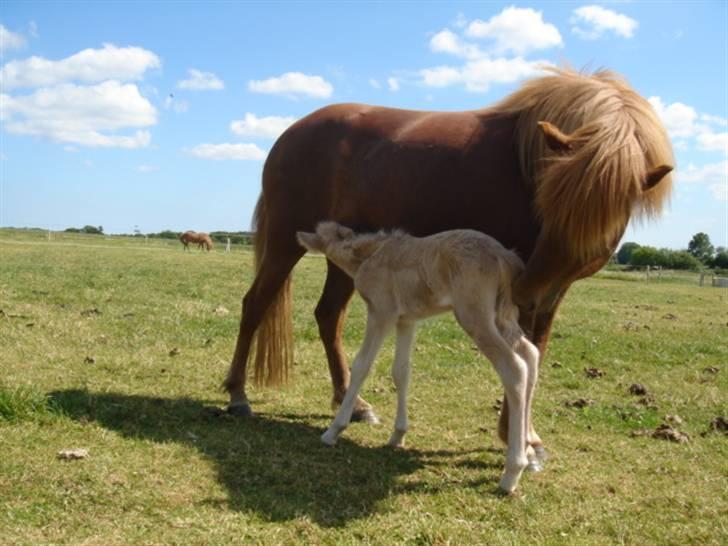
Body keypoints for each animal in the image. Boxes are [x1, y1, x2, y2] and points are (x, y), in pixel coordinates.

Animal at [222, 68, 672, 450]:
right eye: (548, 199)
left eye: (595, 222)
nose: (525, 288)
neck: (525, 156)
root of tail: (289, 134)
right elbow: (523, 355)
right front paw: (514, 435)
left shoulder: (553, 287)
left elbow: (536, 349)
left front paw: (524, 435)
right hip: (284, 242)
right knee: (255, 305)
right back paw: (238, 395)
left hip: (344, 258)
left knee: (328, 315)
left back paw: (353, 403)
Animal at [298, 219, 544, 490]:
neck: (370, 255)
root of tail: (506, 258)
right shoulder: (406, 320)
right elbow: (401, 371)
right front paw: (398, 435)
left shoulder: (381, 312)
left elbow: (362, 365)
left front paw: (334, 431)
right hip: (504, 315)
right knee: (530, 354)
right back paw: (528, 450)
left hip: (474, 315)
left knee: (514, 367)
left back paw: (512, 473)